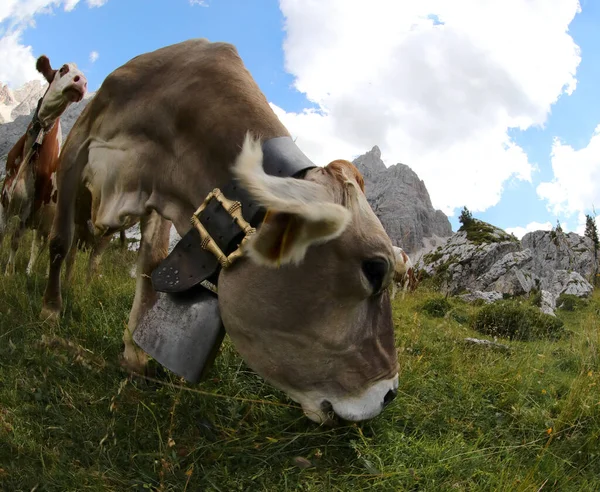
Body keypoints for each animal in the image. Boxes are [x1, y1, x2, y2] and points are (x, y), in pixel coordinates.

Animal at [0, 55, 88, 276]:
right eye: (63, 69)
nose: (81, 82)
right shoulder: (4, 199)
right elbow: (2, 234)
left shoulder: (29, 208)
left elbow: (14, 240)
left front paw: (8, 273)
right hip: (43, 223)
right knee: (39, 244)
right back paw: (30, 271)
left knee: (67, 255)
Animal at [41, 39, 398, 422]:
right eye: (375, 270)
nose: (390, 393)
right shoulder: (78, 144)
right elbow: (59, 241)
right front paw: (50, 314)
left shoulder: (159, 192)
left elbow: (150, 265)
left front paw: (134, 354)